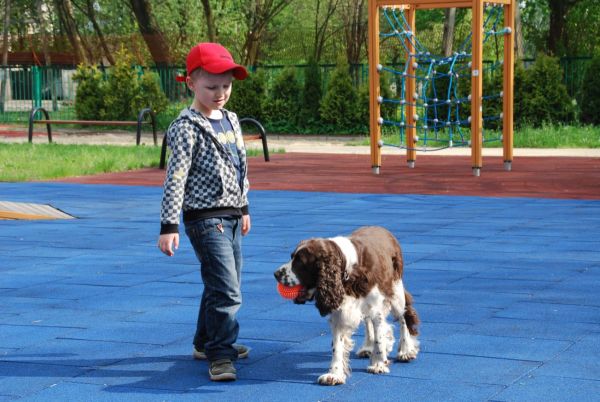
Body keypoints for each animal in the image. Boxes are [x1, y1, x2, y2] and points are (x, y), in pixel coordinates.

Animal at [274, 226, 420, 386]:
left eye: (300, 262)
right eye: (291, 257)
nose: (275, 274)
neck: (348, 272)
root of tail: (383, 229)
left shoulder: (376, 307)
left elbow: (379, 338)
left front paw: (378, 364)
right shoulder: (340, 312)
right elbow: (337, 346)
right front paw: (334, 374)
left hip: (396, 291)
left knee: (403, 318)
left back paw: (405, 350)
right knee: (368, 321)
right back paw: (367, 347)